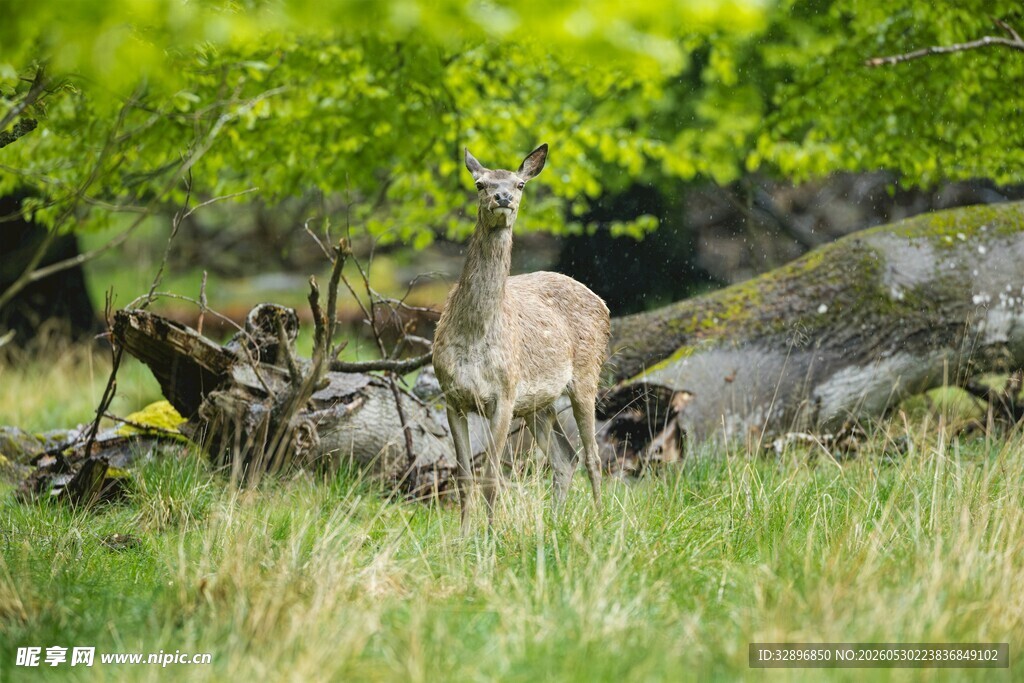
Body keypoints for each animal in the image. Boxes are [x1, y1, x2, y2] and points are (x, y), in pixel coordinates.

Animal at [432, 143, 610, 531]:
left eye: (520, 184)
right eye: (479, 183)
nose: (502, 197)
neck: (474, 335)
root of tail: (603, 303)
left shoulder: (505, 392)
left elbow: (491, 475)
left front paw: (490, 535)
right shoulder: (452, 397)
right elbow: (464, 476)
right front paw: (463, 535)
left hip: (586, 376)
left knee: (593, 456)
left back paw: (601, 519)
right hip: (539, 404)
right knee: (565, 458)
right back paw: (556, 523)